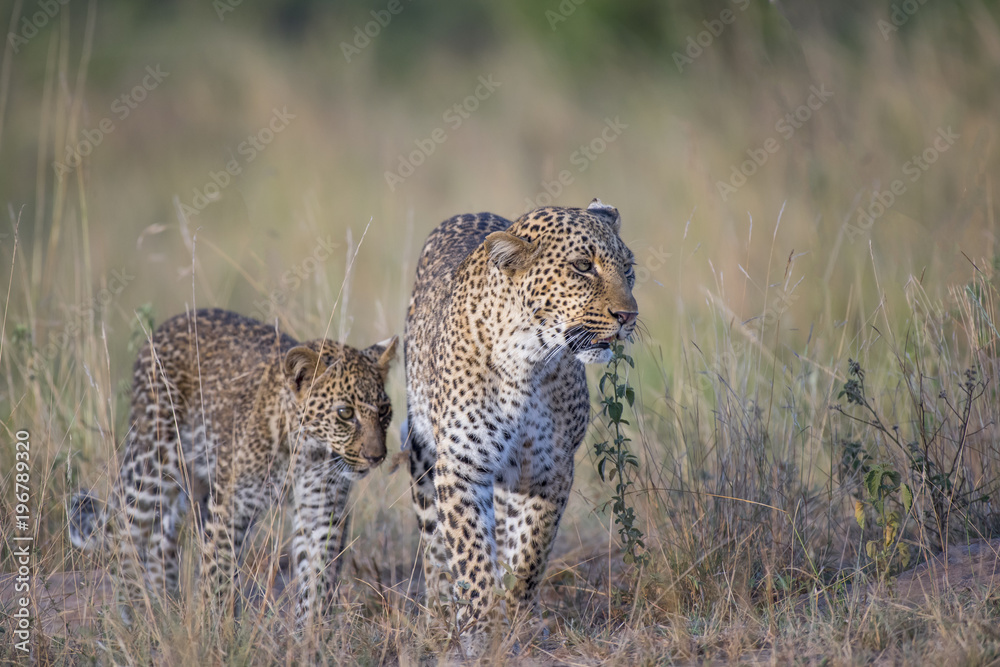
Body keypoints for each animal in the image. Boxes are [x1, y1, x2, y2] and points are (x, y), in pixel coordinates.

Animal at [69, 308, 397, 629]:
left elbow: (317, 579)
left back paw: (168, 607)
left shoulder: (321, 509)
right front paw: (216, 632)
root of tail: (174, 321)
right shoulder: (230, 507)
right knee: (126, 535)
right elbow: (218, 576)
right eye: (345, 413)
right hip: (151, 463)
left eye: (384, 410)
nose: (376, 456)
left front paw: (310, 636)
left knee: (163, 539)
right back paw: (135, 616)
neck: (304, 449)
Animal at [403, 199, 638, 645]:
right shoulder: (461, 466)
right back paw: (439, 611)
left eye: (629, 269)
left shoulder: (549, 469)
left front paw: (517, 613)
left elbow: (531, 549)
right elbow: (469, 551)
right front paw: (480, 627)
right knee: (433, 547)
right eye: (583, 266)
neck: (528, 362)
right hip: (422, 454)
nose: (628, 315)